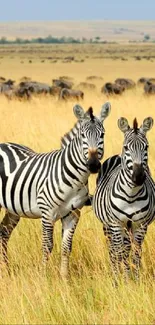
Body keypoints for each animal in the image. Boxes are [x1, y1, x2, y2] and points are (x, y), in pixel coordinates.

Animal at [0, 101, 111, 276]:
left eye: (102, 135)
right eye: (82, 135)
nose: (93, 165)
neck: (75, 179)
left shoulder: (73, 214)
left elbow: (66, 247)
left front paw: (64, 277)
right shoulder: (47, 212)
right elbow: (47, 246)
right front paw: (43, 276)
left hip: (13, 208)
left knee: (4, 231)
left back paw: (5, 268)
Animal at [92, 115, 154, 280]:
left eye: (146, 147)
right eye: (126, 147)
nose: (138, 177)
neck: (131, 195)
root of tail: (115, 156)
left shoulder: (140, 224)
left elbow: (136, 253)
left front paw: (135, 279)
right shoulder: (116, 223)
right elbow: (120, 253)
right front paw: (124, 280)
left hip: (129, 226)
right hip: (109, 226)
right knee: (114, 250)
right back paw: (115, 276)